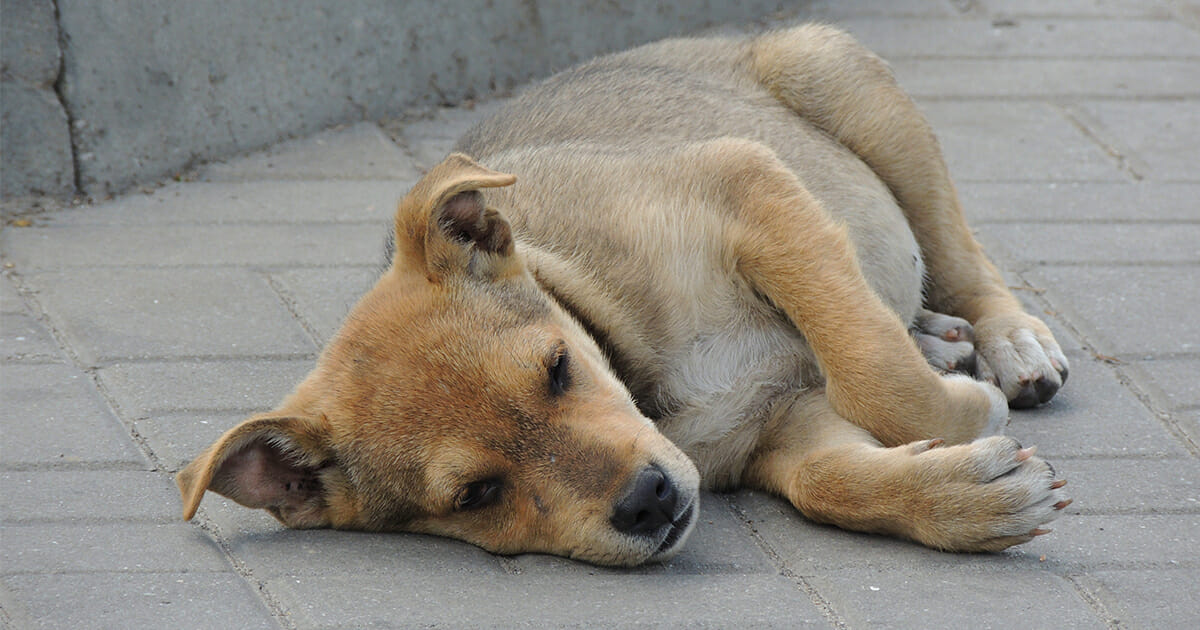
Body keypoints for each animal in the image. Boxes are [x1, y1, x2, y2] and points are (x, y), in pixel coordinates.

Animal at [175, 23, 1070, 564]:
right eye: (475, 495)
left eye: (558, 367)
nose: (649, 502)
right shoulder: (782, 426)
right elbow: (830, 480)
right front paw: (971, 496)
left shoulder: (746, 184)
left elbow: (871, 367)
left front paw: (966, 414)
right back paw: (941, 341)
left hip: (839, 81)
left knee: (958, 257)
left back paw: (1007, 343)